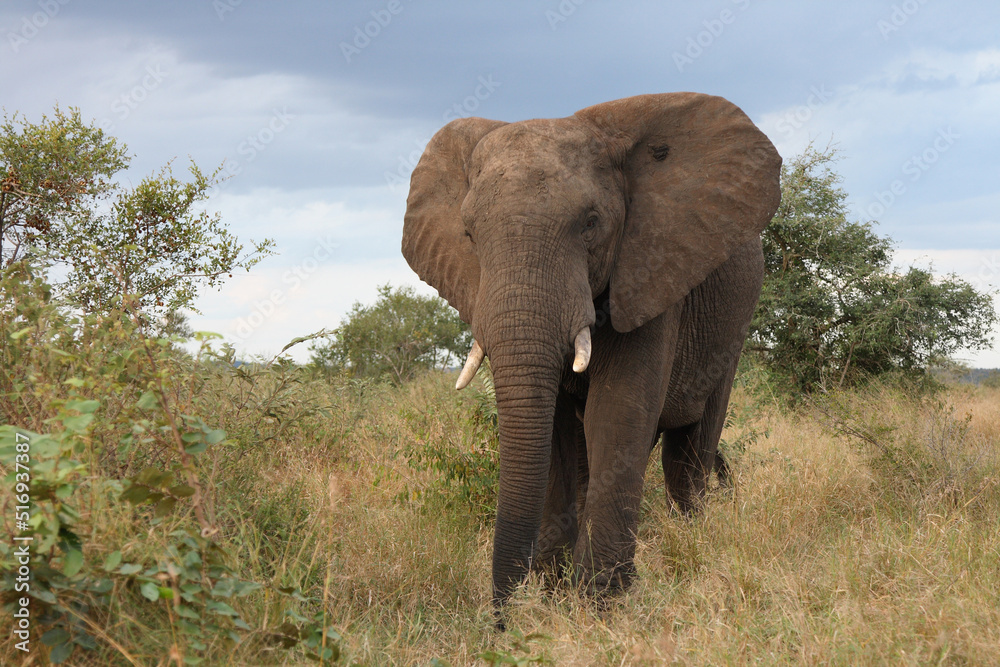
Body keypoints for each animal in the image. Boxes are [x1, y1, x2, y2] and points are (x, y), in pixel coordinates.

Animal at [401, 93, 781, 617]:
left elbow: (617, 411)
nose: (501, 620)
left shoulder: (649, 267)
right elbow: (555, 428)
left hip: (734, 320)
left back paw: (693, 544)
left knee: (689, 450)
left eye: (591, 224)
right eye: (469, 234)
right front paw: (555, 595)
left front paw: (602, 604)